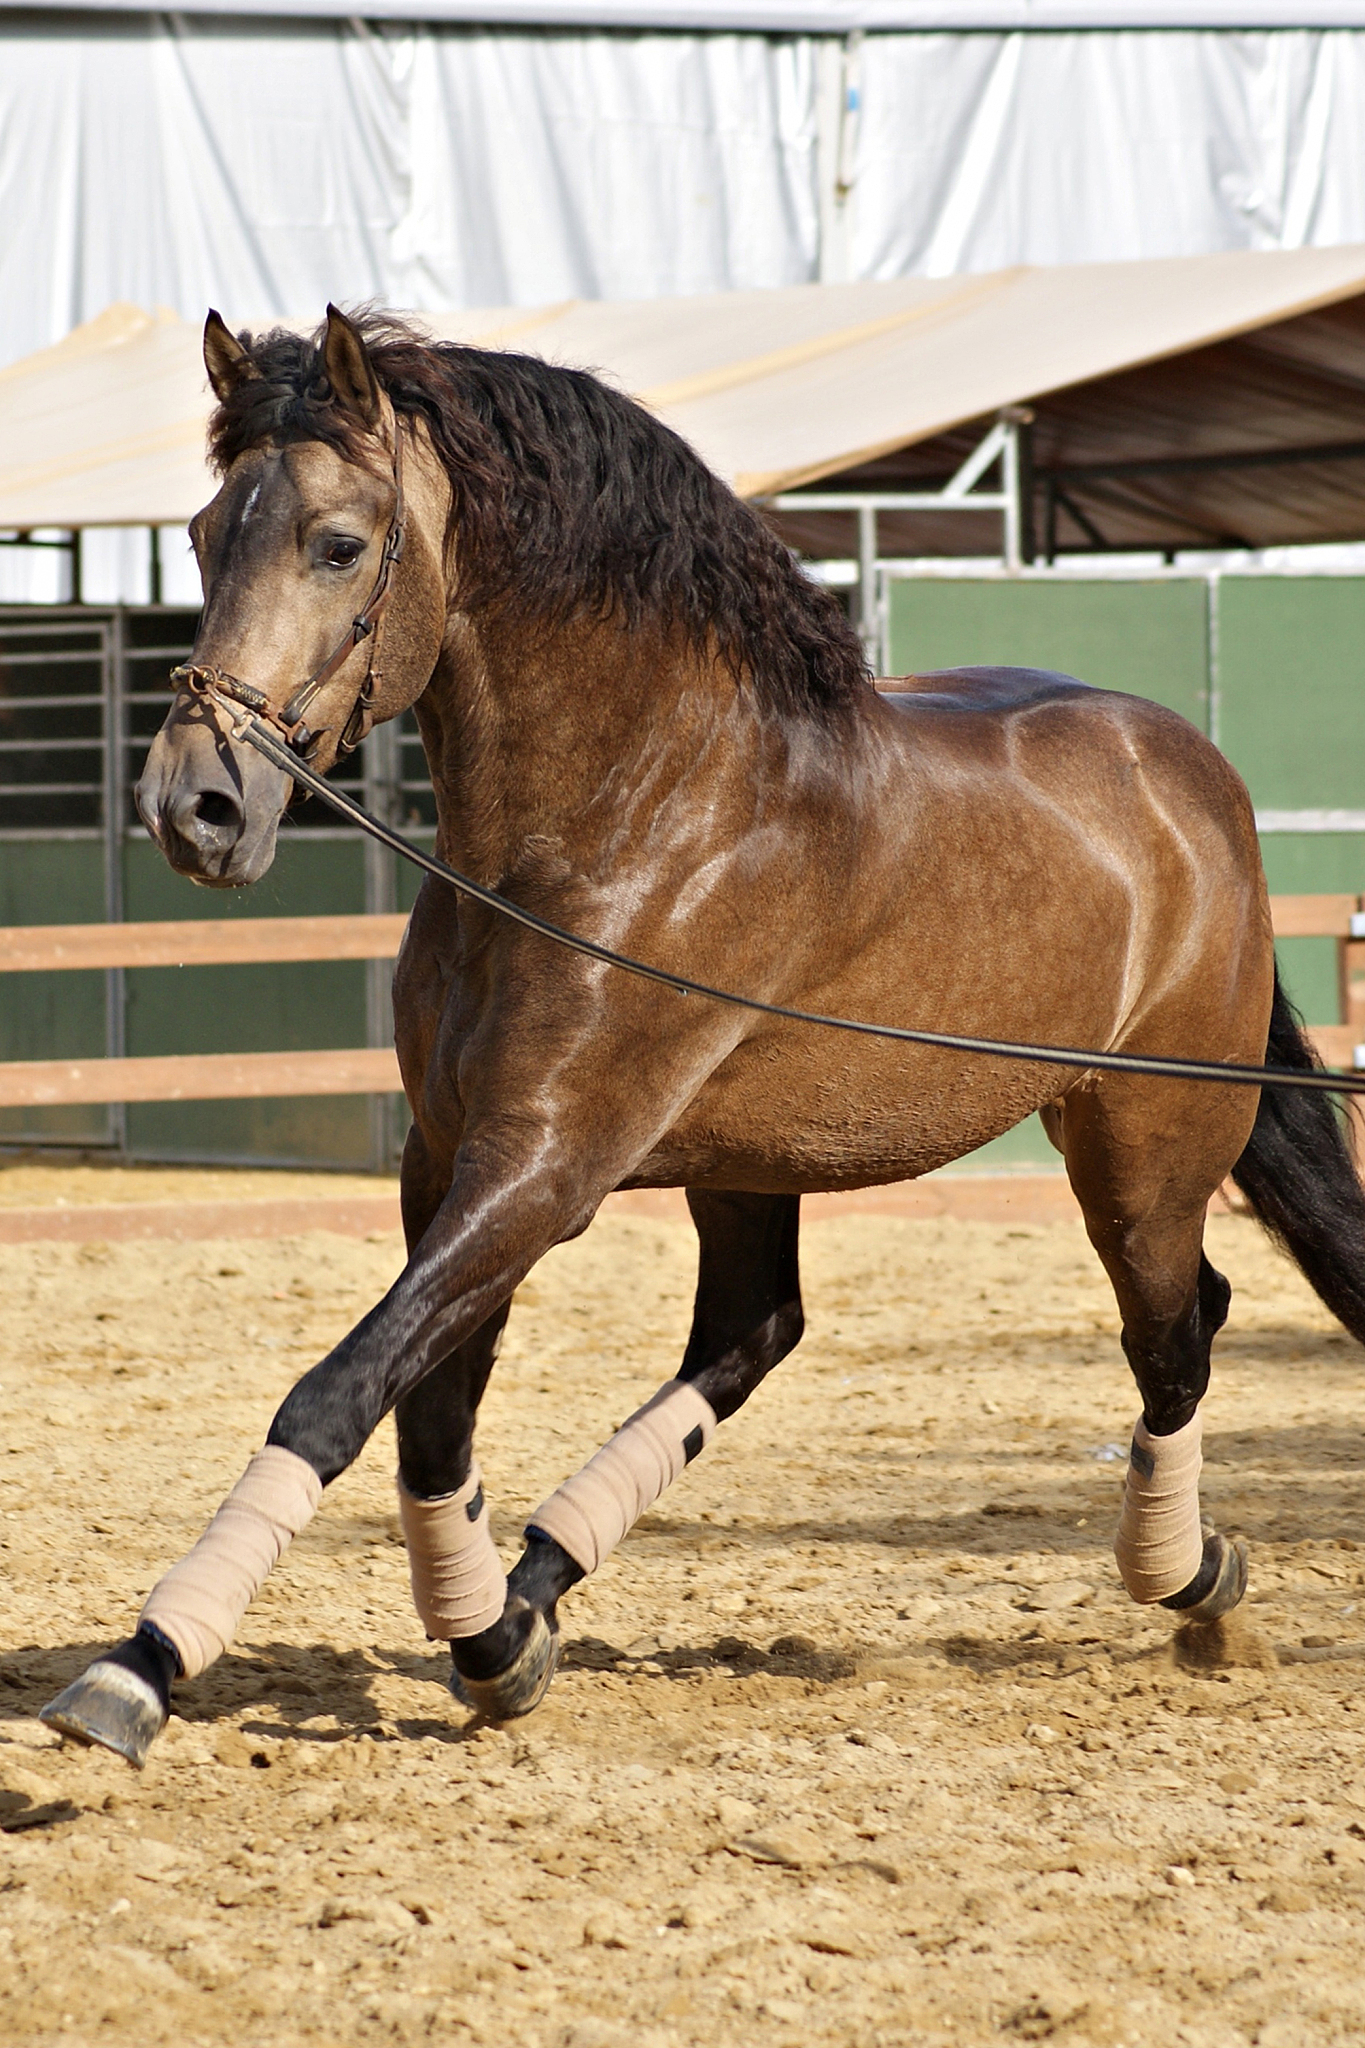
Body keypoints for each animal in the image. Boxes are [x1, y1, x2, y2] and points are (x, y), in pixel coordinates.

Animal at [43, 305, 1365, 1768]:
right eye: (205, 534)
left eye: (335, 543)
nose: (194, 807)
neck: (620, 814)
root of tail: (1194, 779)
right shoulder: (451, 1162)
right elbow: (428, 1410)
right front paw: (492, 1642)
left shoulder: (544, 1164)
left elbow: (340, 1392)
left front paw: (140, 1667)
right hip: (758, 1165)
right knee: (754, 1331)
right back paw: (540, 1582)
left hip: (1138, 1151)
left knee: (1176, 1329)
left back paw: (1194, 1582)